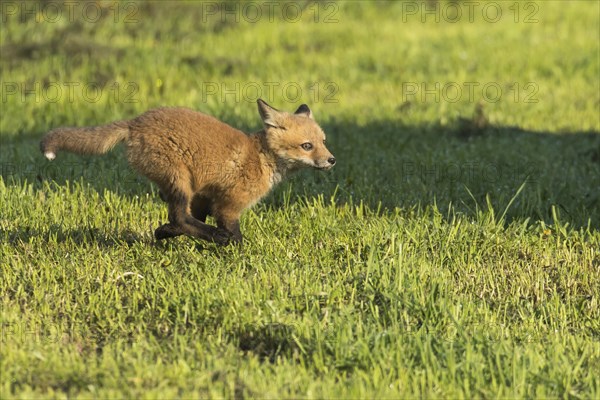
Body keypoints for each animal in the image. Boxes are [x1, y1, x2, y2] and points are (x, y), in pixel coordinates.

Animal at [39, 99, 336, 244]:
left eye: (323, 141)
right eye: (307, 146)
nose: (332, 160)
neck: (261, 158)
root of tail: (135, 122)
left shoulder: (203, 195)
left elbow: (191, 221)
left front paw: (163, 233)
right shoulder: (229, 205)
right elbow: (233, 234)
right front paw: (237, 249)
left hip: (181, 185)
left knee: (179, 216)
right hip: (179, 179)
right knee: (180, 216)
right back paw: (217, 238)